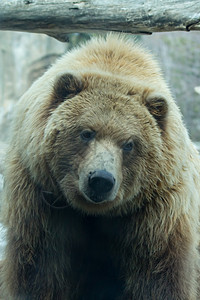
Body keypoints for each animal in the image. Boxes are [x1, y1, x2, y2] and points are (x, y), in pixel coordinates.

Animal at [0, 34, 200, 298]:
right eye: (87, 132)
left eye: (129, 144)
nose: (101, 180)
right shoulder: (41, 200)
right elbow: (40, 272)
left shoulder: (156, 216)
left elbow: (158, 278)